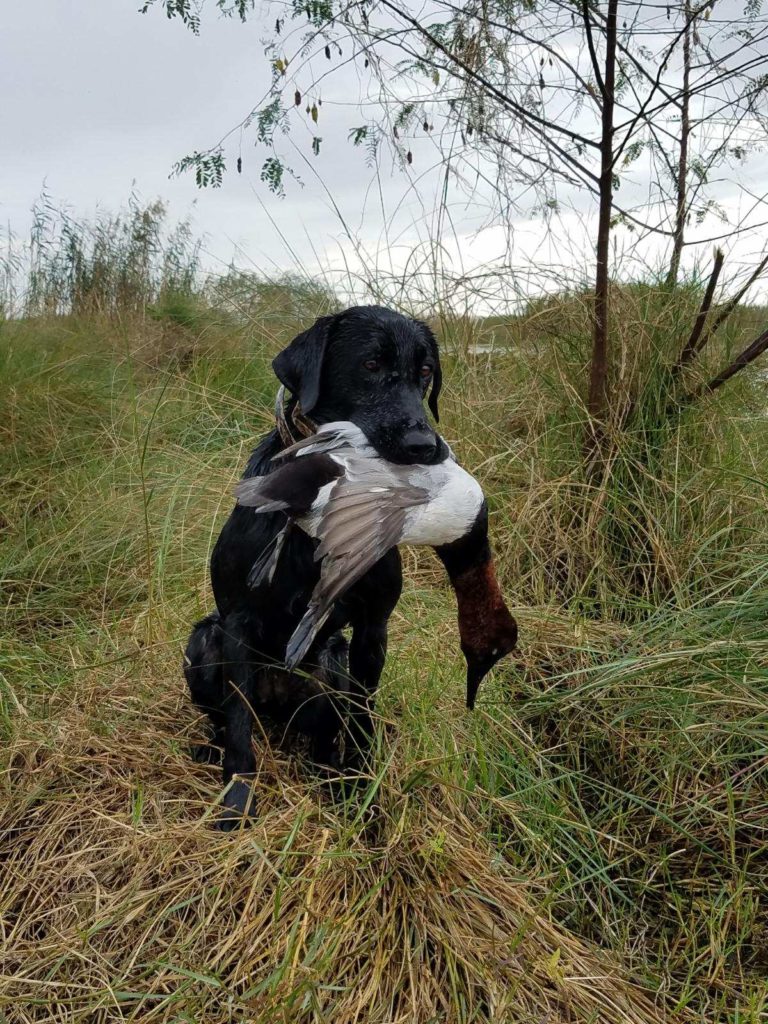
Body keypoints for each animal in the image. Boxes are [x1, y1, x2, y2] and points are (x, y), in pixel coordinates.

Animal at [185, 301, 444, 823]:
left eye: (425, 372)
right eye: (370, 364)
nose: (424, 447)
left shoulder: (372, 631)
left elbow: (363, 720)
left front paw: (363, 794)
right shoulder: (238, 623)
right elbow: (239, 723)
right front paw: (237, 800)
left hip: (332, 661)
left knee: (325, 735)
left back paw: (330, 772)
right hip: (204, 641)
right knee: (227, 719)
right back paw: (210, 749)